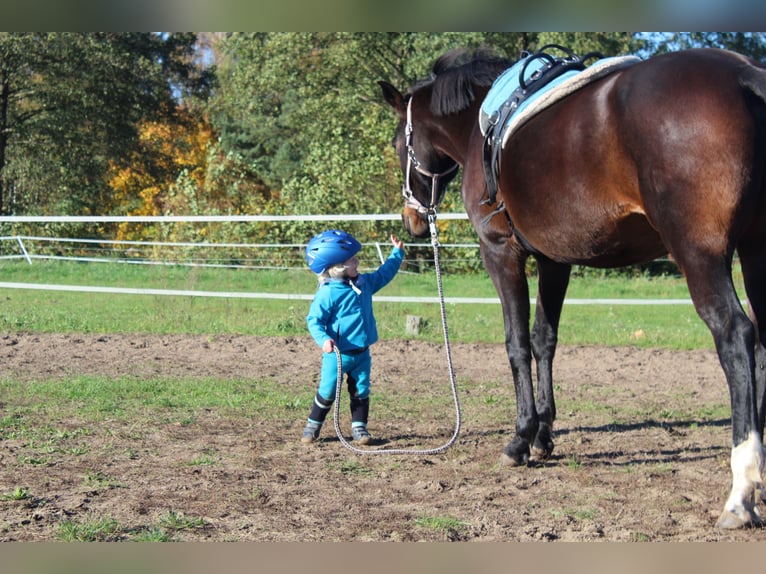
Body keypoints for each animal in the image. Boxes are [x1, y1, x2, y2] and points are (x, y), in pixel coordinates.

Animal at [382, 48, 766, 532]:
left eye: (398, 145)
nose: (411, 219)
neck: (482, 122)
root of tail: (744, 76)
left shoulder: (500, 253)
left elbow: (517, 344)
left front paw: (520, 439)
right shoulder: (555, 260)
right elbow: (545, 341)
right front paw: (544, 435)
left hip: (701, 255)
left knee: (736, 337)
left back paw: (742, 491)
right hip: (754, 251)